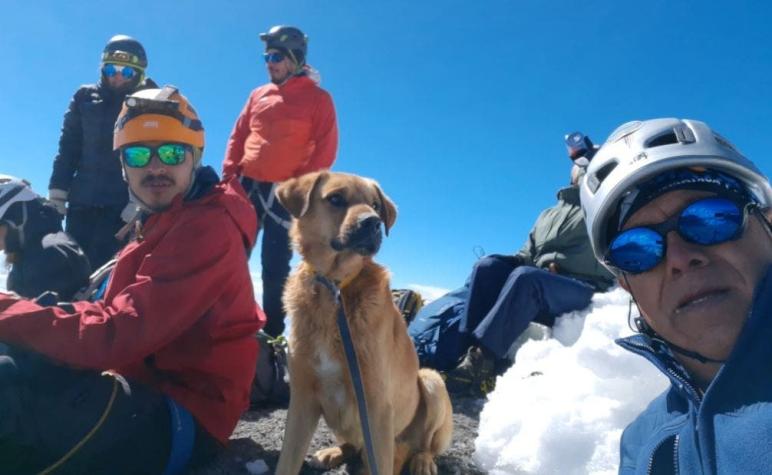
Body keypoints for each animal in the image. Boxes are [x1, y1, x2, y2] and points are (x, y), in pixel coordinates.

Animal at [276, 172, 452, 475]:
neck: (335, 288)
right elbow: (286, 461)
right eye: (336, 198)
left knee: (422, 445)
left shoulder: (377, 405)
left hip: (432, 382)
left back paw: (421, 460)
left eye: (375, 205)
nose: (373, 222)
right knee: (354, 445)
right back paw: (334, 452)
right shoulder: (301, 400)